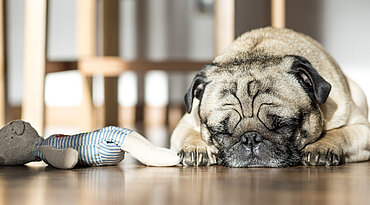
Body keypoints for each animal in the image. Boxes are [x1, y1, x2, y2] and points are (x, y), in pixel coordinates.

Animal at [172, 27, 370, 167]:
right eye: (219, 131)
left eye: (284, 125)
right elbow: (189, 134)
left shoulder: (362, 129)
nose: (250, 138)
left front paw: (322, 146)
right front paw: (196, 147)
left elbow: (342, 133)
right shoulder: (185, 123)